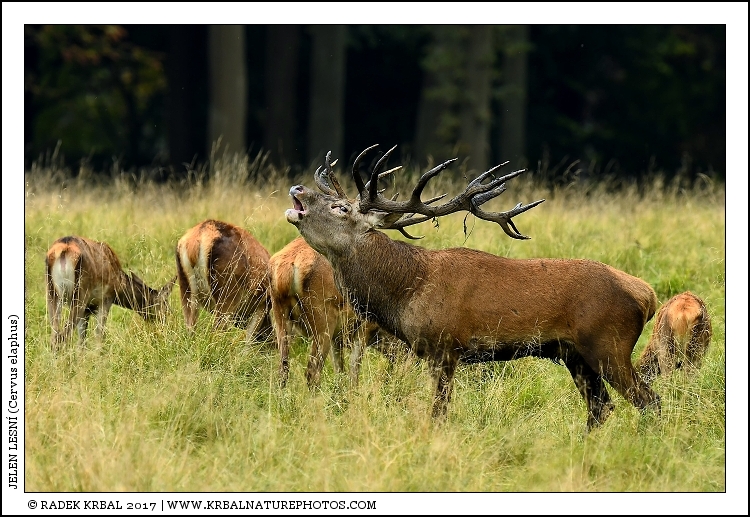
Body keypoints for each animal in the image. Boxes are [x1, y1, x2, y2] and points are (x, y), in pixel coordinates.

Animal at [45, 235, 175, 349]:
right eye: (166, 306)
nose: (169, 325)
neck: (120, 284)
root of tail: (63, 250)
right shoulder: (106, 298)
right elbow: (99, 334)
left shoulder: (87, 310)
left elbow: (82, 341)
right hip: (80, 294)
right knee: (62, 336)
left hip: (52, 292)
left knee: (55, 334)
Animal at [269, 235, 399, 389]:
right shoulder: (363, 329)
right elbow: (353, 370)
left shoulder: (337, 337)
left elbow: (340, 370)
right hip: (323, 322)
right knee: (312, 372)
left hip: (281, 316)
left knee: (283, 369)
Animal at [283, 144, 662, 432]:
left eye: (341, 207)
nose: (297, 189)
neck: (405, 291)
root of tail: (648, 296)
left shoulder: (445, 346)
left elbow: (439, 413)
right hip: (576, 356)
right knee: (601, 408)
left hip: (609, 345)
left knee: (648, 400)